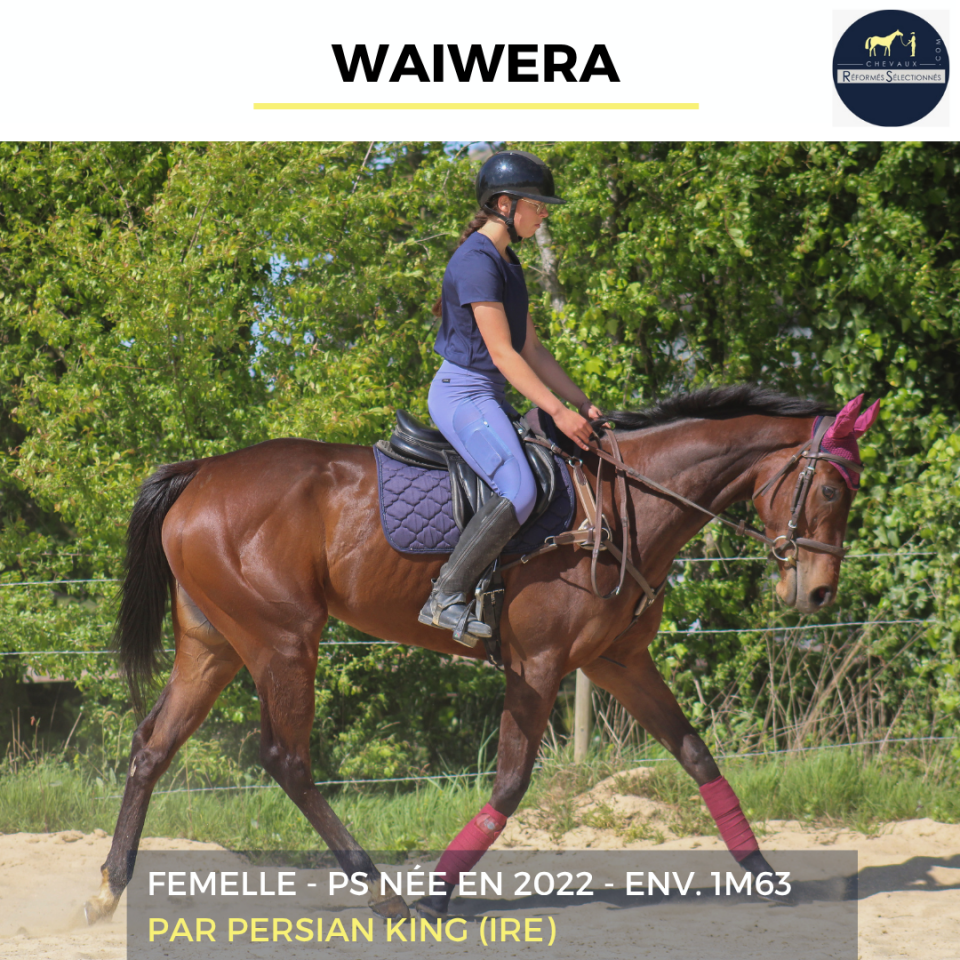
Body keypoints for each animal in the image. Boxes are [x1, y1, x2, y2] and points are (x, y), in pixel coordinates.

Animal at [82, 385, 879, 924]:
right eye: (828, 487)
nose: (816, 593)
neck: (623, 503)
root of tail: (203, 471)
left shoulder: (617, 662)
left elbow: (697, 755)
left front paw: (763, 870)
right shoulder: (539, 665)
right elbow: (511, 782)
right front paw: (438, 894)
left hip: (214, 645)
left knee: (153, 745)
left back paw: (109, 887)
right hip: (283, 642)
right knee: (286, 759)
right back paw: (382, 891)